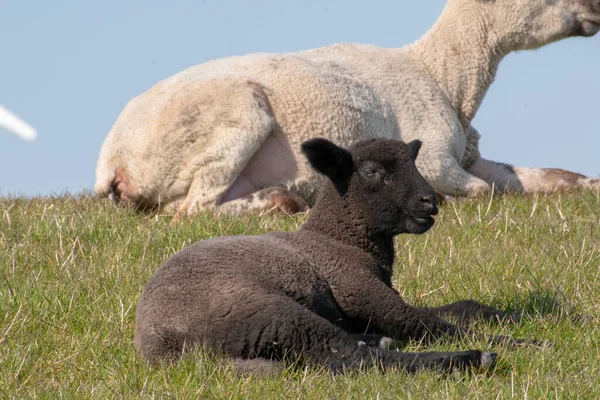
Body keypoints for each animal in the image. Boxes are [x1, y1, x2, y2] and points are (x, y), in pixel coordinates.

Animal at [94, 0, 600, 219]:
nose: (595, 8)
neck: (440, 73)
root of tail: (111, 161)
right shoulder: (436, 157)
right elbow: (484, 193)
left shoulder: (468, 155)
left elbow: (549, 177)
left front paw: (587, 185)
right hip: (232, 119)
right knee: (188, 211)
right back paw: (280, 201)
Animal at [134, 139, 528, 374]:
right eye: (372, 171)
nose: (430, 202)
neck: (341, 242)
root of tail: (157, 344)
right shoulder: (363, 292)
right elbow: (430, 324)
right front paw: (520, 342)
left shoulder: (379, 296)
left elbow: (461, 308)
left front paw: (519, 317)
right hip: (270, 314)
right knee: (353, 357)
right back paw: (471, 359)